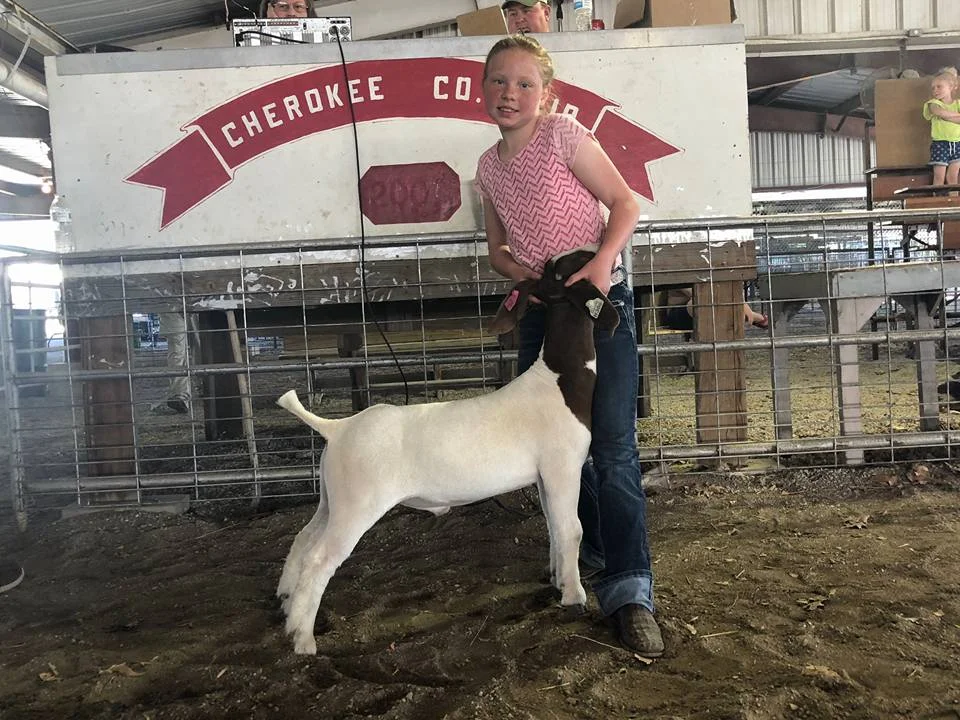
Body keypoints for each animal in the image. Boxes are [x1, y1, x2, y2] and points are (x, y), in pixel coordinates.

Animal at [275, 250, 620, 655]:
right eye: (576, 263)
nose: (603, 255)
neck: (558, 381)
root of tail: (337, 428)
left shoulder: (542, 477)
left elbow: (552, 526)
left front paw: (556, 579)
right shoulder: (562, 467)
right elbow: (571, 529)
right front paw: (574, 596)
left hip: (332, 499)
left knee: (303, 539)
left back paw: (286, 606)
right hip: (356, 505)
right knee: (318, 558)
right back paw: (303, 639)